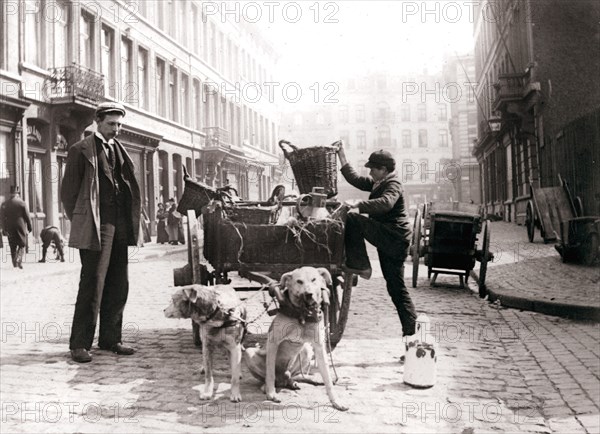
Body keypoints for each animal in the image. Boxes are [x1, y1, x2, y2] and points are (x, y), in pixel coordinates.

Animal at [262, 266, 346, 412]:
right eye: (299, 281)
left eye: (314, 279)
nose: (309, 294)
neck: (303, 314)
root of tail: (283, 378)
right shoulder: (273, 342)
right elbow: (270, 370)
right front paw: (271, 393)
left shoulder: (319, 347)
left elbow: (328, 377)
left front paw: (336, 401)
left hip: (306, 351)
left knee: (296, 375)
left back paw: (304, 381)